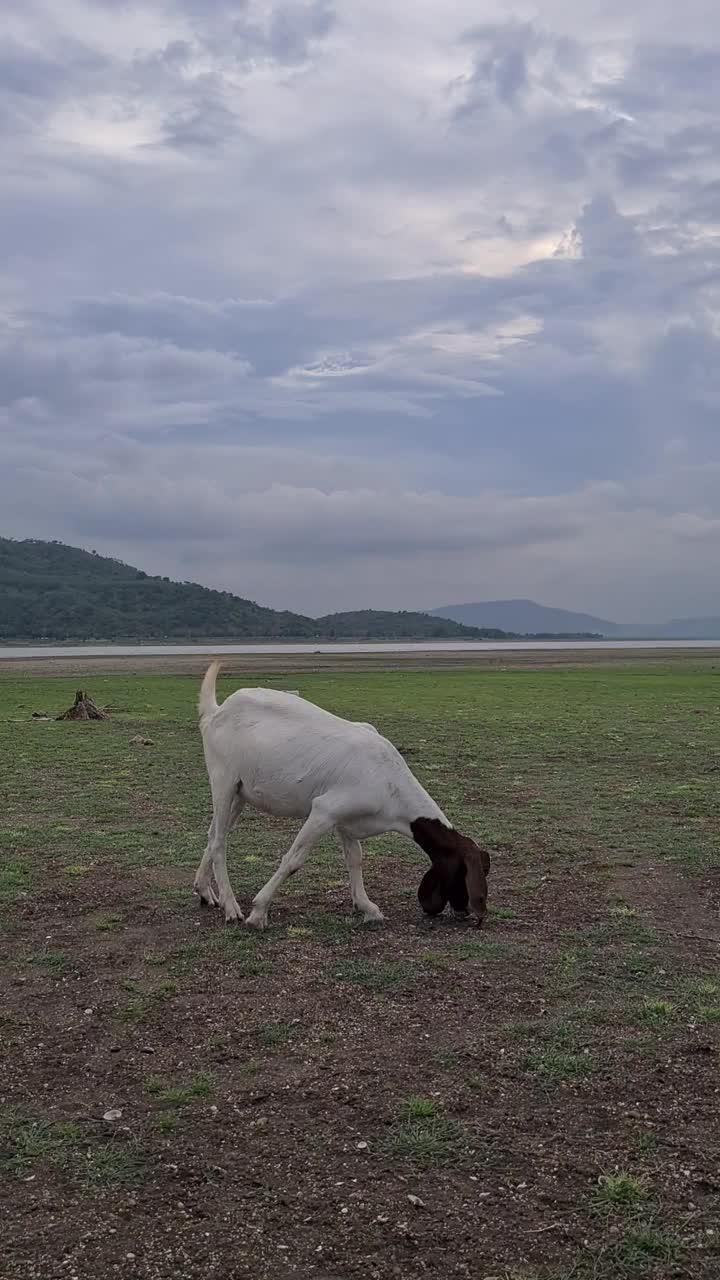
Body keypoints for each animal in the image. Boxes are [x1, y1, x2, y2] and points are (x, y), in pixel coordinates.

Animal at [194, 660, 486, 931]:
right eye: (464, 873)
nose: (467, 912)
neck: (390, 783)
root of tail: (217, 712)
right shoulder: (325, 811)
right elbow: (293, 860)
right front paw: (258, 912)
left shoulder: (346, 819)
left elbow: (355, 858)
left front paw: (367, 907)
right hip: (223, 780)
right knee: (219, 841)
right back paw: (232, 907)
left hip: (240, 793)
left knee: (212, 834)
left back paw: (205, 891)